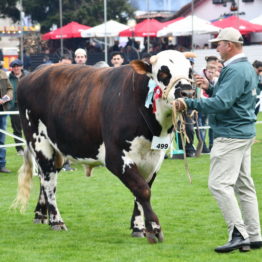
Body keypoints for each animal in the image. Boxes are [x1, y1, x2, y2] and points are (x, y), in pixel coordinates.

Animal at [12, 49, 194, 244]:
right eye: (163, 73)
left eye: (189, 71)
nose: (188, 92)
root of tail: (34, 73)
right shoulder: (116, 157)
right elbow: (142, 190)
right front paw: (154, 228)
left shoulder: (154, 159)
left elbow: (141, 192)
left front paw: (139, 227)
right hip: (40, 143)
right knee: (49, 181)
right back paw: (56, 221)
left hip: (57, 150)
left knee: (44, 178)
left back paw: (40, 215)